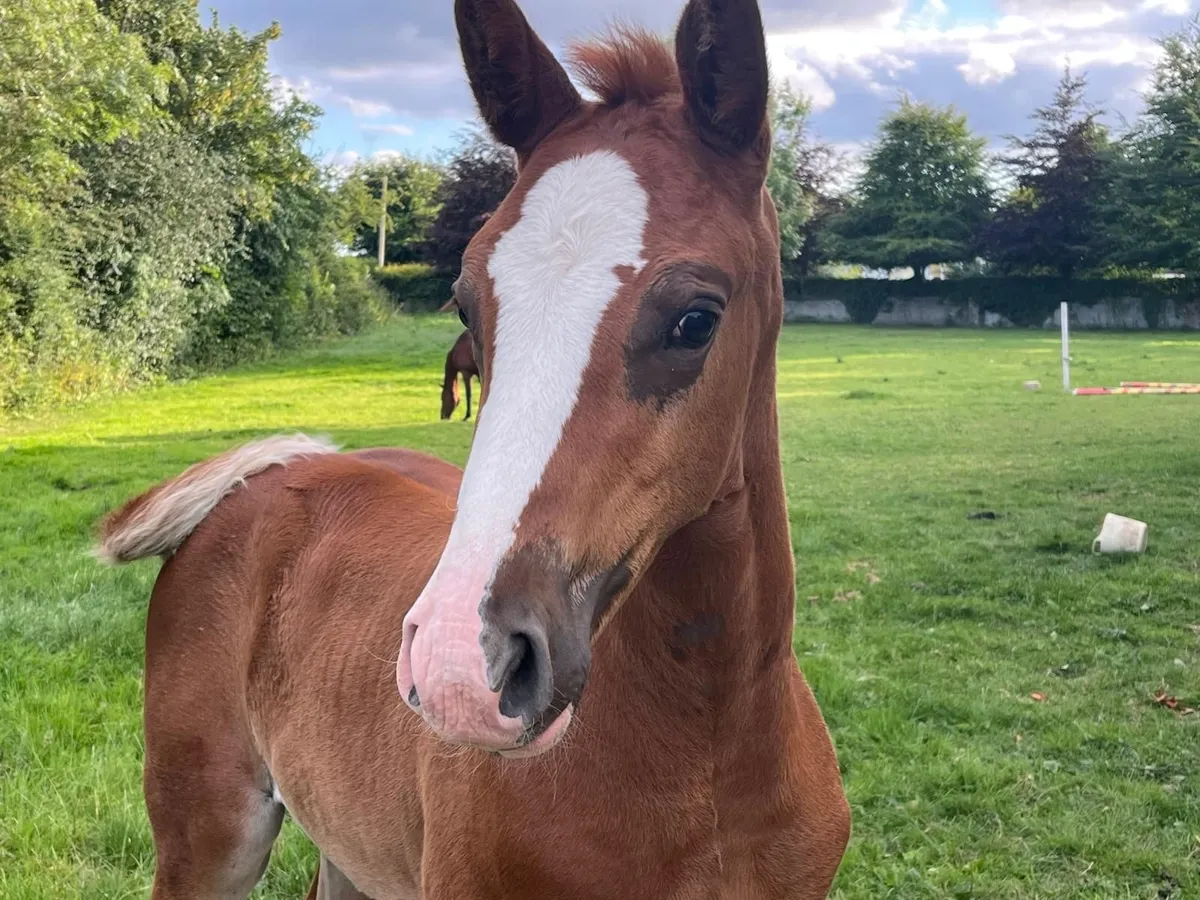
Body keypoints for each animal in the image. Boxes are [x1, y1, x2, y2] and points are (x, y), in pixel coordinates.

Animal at [93, 0, 852, 896]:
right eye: (467, 306)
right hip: (208, 837)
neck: (710, 761)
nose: (461, 668)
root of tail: (287, 465)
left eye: (697, 319)